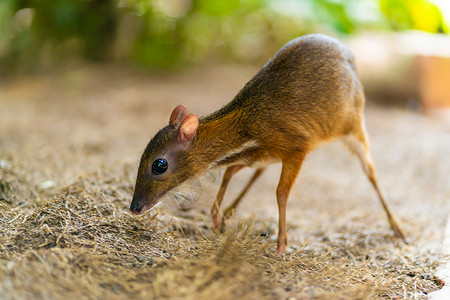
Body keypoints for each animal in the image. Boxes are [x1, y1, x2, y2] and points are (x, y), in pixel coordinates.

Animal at [130, 34, 408, 254]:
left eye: (159, 165)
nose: (135, 207)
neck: (248, 127)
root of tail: (351, 56)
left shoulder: (296, 147)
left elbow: (281, 193)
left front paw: (281, 246)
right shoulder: (256, 153)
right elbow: (229, 172)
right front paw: (217, 218)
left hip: (355, 128)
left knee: (371, 172)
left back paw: (398, 228)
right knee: (257, 172)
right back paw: (229, 213)